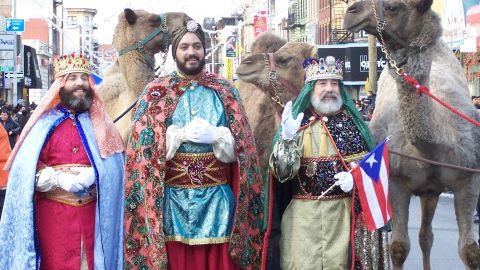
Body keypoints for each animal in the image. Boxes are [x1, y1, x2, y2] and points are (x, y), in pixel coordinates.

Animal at [344, 1, 480, 268]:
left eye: (393, 7)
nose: (351, 12)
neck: (433, 147)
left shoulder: (468, 178)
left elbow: (470, 251)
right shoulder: (396, 181)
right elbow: (398, 247)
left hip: (431, 190)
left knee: (426, 235)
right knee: (419, 236)